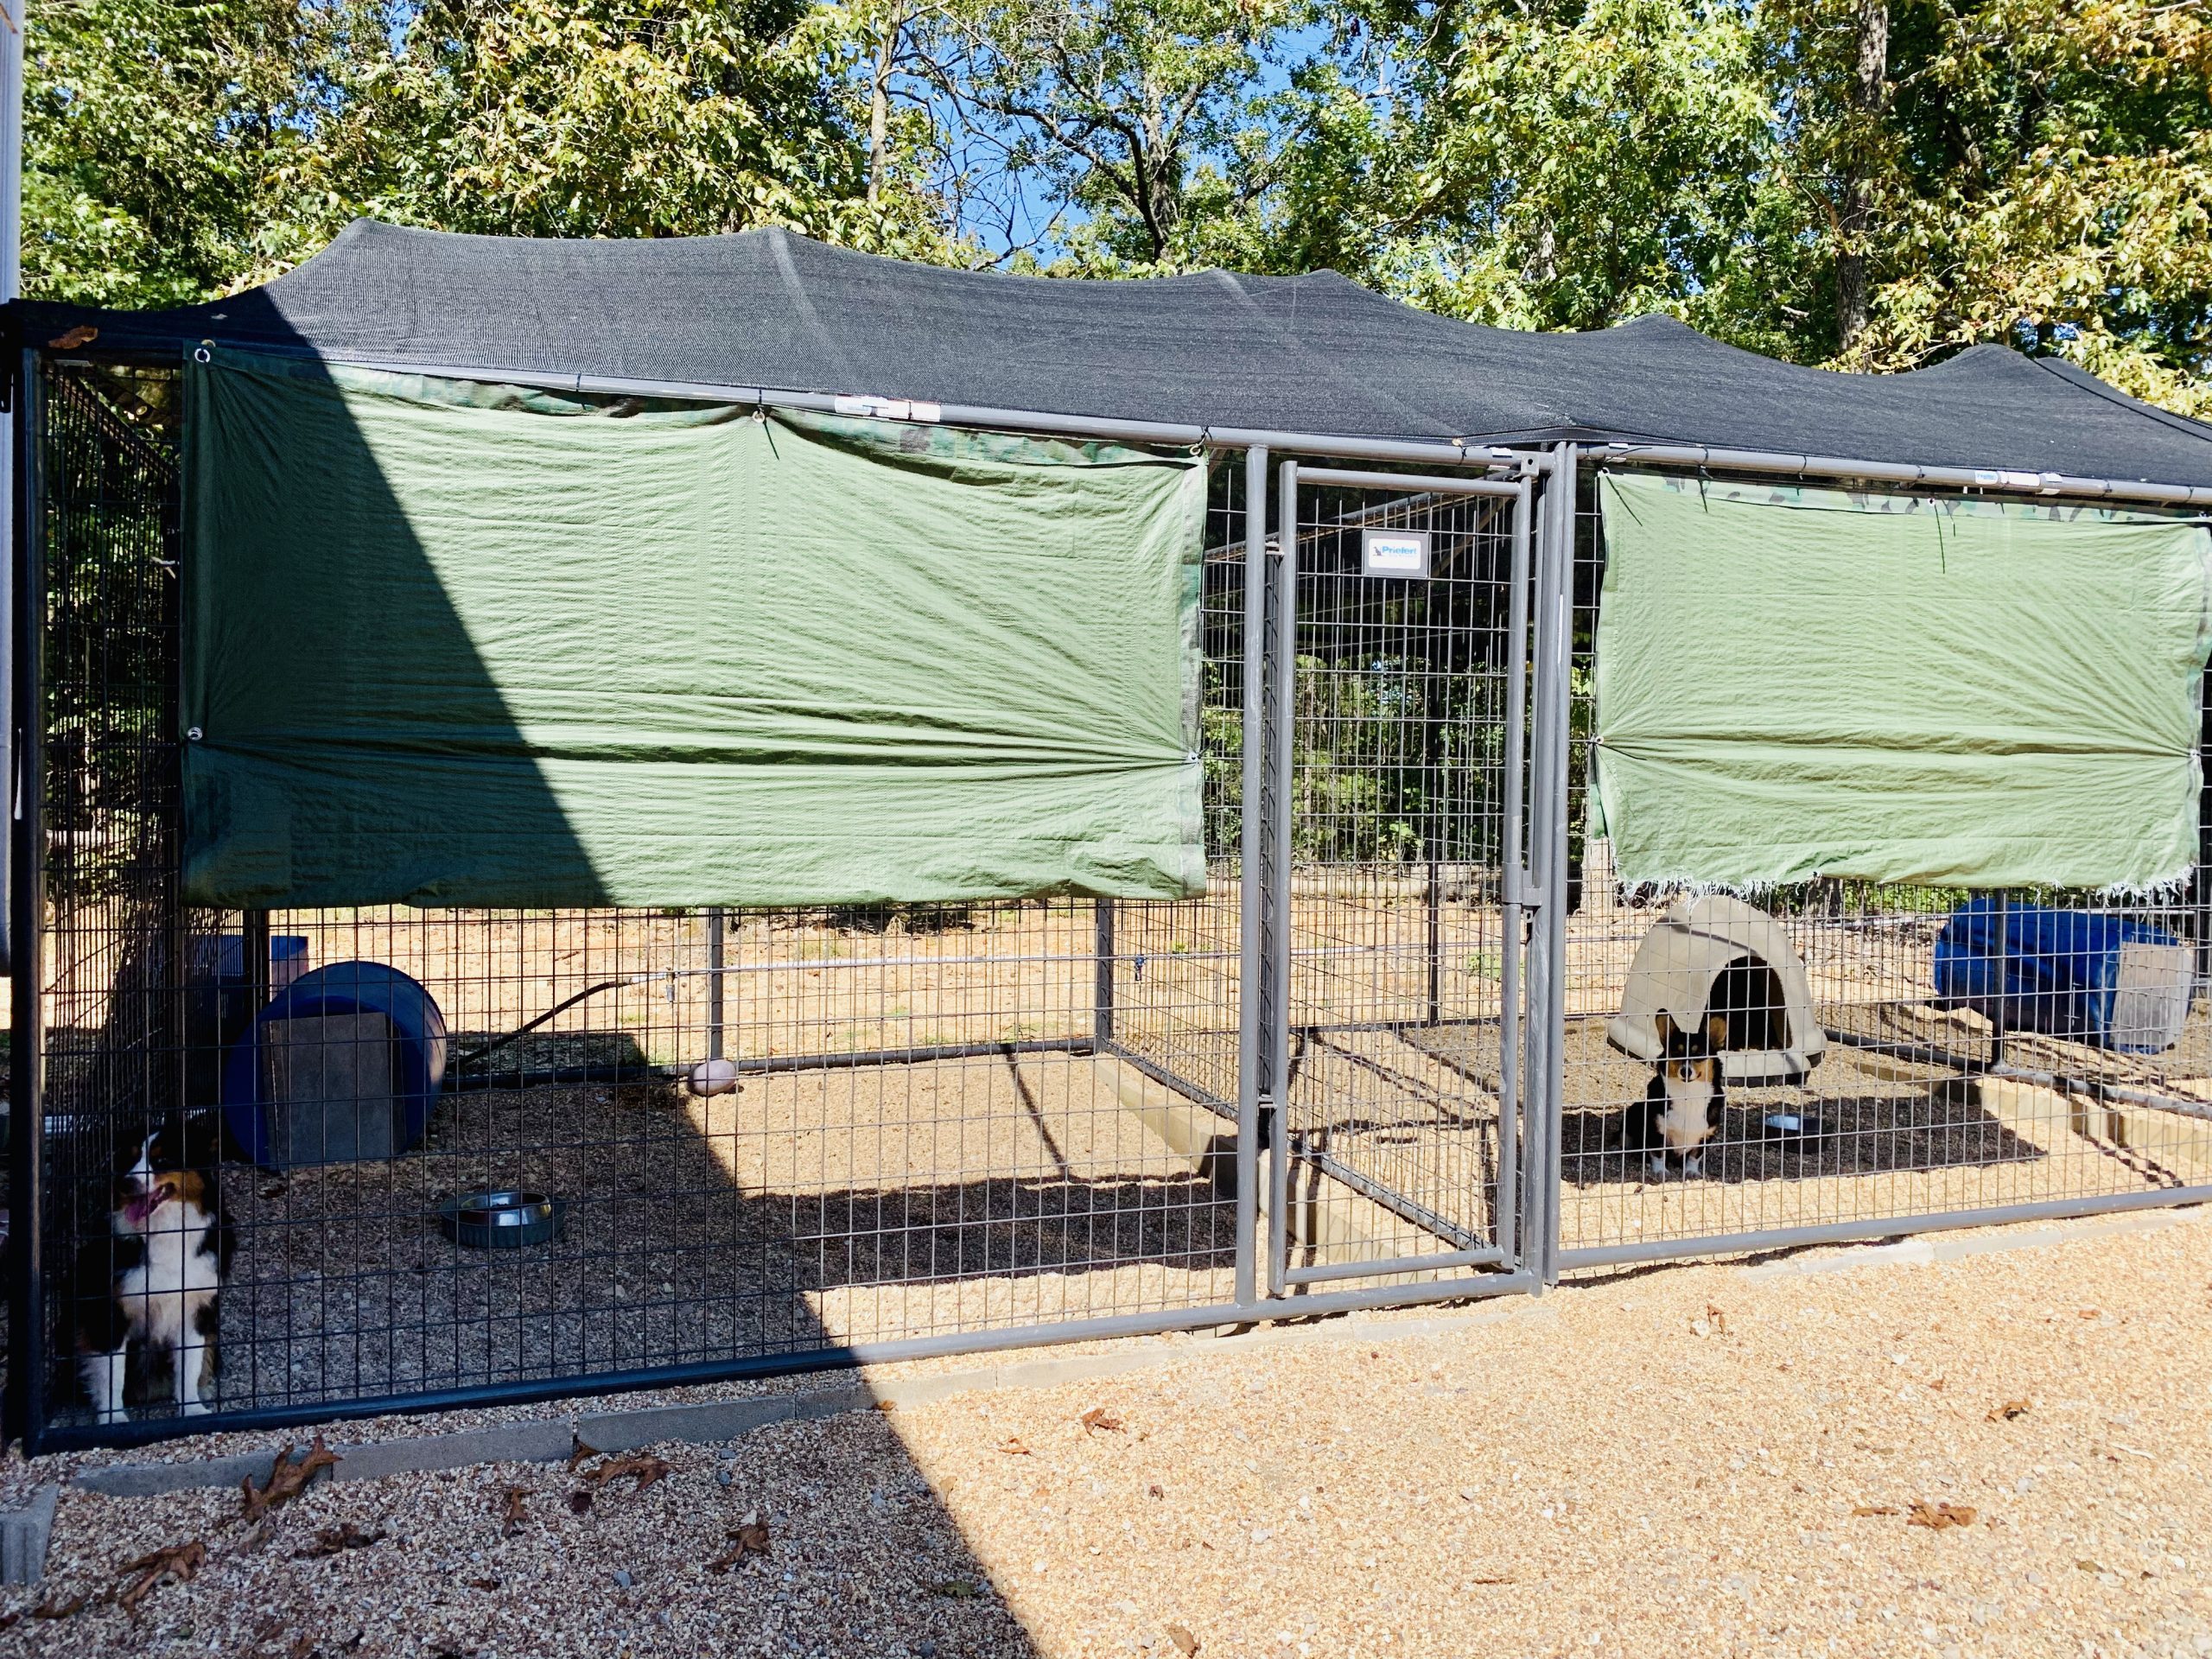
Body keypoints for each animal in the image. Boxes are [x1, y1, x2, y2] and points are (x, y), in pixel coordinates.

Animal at [73, 1110, 233, 1424]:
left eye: (162, 1160)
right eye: (129, 1159)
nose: (126, 1183)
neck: (165, 1232)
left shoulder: (195, 1307)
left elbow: (190, 1365)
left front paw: (192, 1408)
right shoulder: (111, 1313)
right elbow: (112, 1374)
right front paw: (114, 1420)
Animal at [1628, 1013, 1725, 1185]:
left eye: (1700, 1054)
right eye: (1676, 1053)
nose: (1685, 1071)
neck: (1688, 1094)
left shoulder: (1706, 1135)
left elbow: (1695, 1157)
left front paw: (1691, 1172)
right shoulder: (1656, 1131)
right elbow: (1659, 1154)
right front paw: (1660, 1172)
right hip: (1634, 1110)